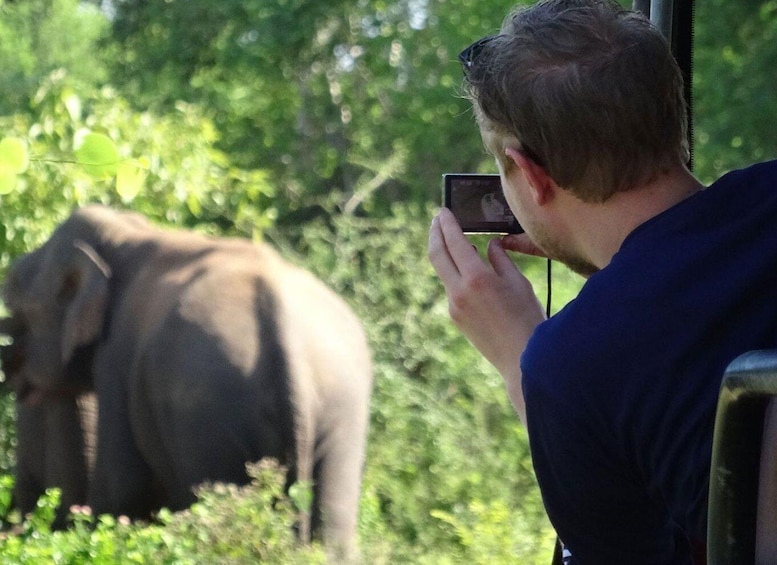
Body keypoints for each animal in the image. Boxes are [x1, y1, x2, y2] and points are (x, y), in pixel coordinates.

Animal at [0, 205, 372, 556]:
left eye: (15, 305)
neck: (125, 232)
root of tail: (286, 338)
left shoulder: (117, 359)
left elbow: (123, 489)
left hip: (210, 415)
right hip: (341, 412)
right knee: (334, 523)